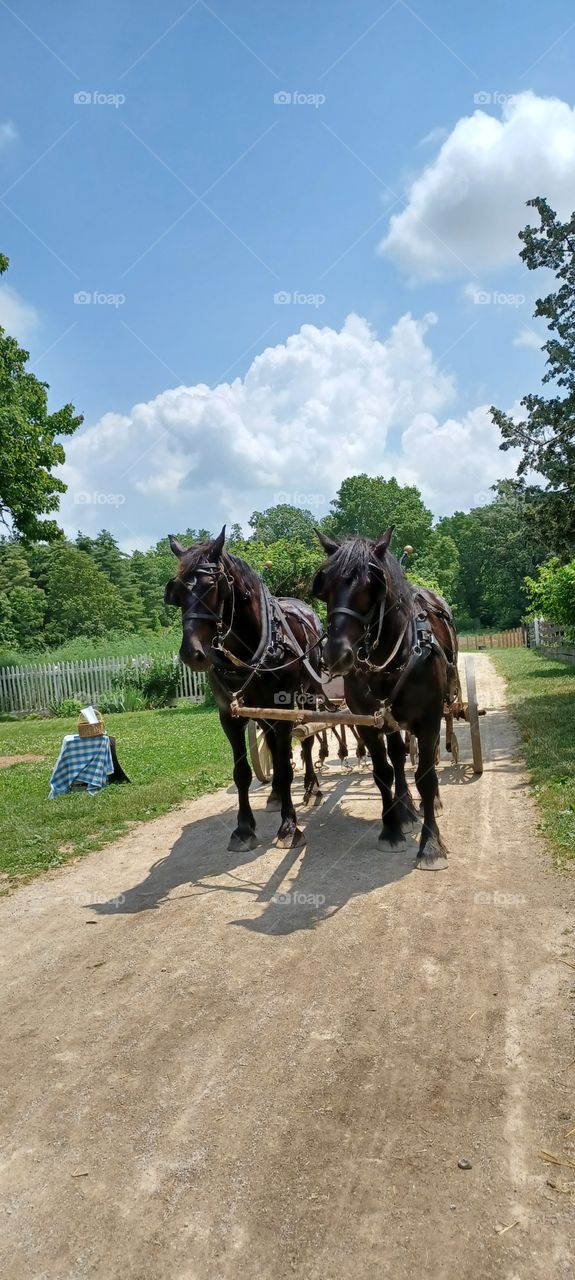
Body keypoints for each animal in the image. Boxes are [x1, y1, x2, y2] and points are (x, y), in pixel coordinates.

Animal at [164, 527, 324, 852]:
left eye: (212, 586)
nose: (191, 653)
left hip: (308, 695)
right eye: (177, 594)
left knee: (306, 740)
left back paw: (311, 787)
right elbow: (242, 773)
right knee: (274, 745)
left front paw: (289, 826)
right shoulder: (230, 715)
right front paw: (243, 828)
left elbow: (287, 766)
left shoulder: (283, 709)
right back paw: (275, 794)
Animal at [312, 529, 458, 870]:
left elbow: (426, 776)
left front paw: (431, 844)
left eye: (371, 585)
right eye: (326, 586)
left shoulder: (429, 719)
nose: (336, 655)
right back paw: (404, 808)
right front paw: (391, 829)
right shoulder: (368, 721)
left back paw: (428, 804)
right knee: (398, 756)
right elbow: (383, 771)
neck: (391, 660)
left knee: (426, 759)